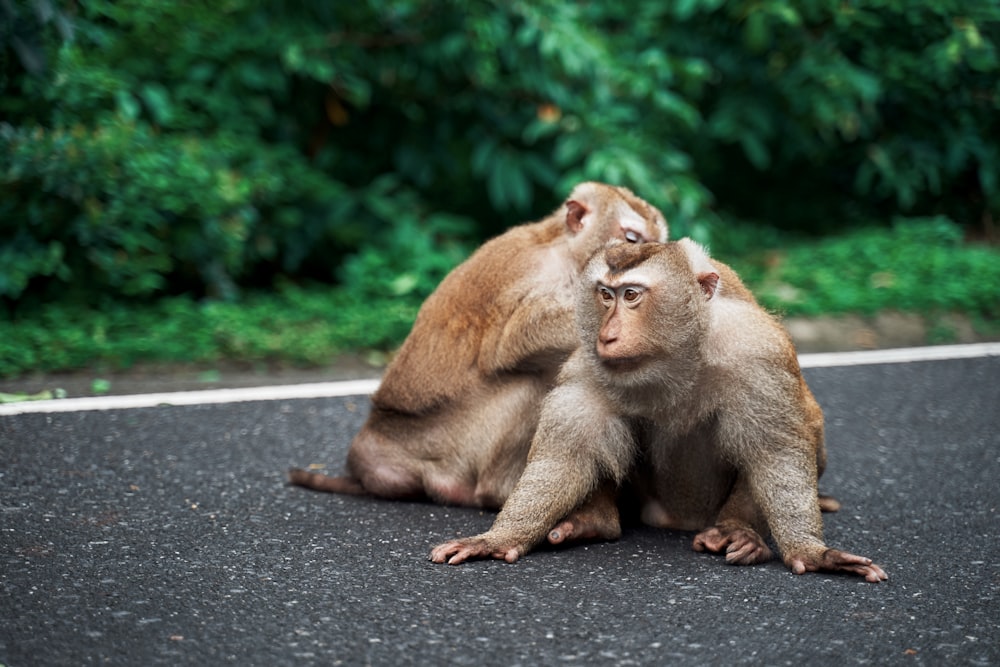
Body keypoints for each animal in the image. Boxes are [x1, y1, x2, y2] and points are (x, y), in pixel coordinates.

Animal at [286, 183, 668, 512]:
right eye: (631, 238)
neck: (568, 254)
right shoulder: (536, 273)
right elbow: (514, 341)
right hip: (449, 445)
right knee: (530, 382)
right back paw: (498, 492)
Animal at [430, 237, 892, 580]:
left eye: (632, 295)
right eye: (605, 295)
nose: (608, 334)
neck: (674, 356)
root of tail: (675, 520)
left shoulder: (757, 350)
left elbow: (775, 451)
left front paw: (811, 552)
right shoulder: (587, 368)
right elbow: (567, 456)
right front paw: (499, 539)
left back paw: (737, 532)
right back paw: (596, 520)